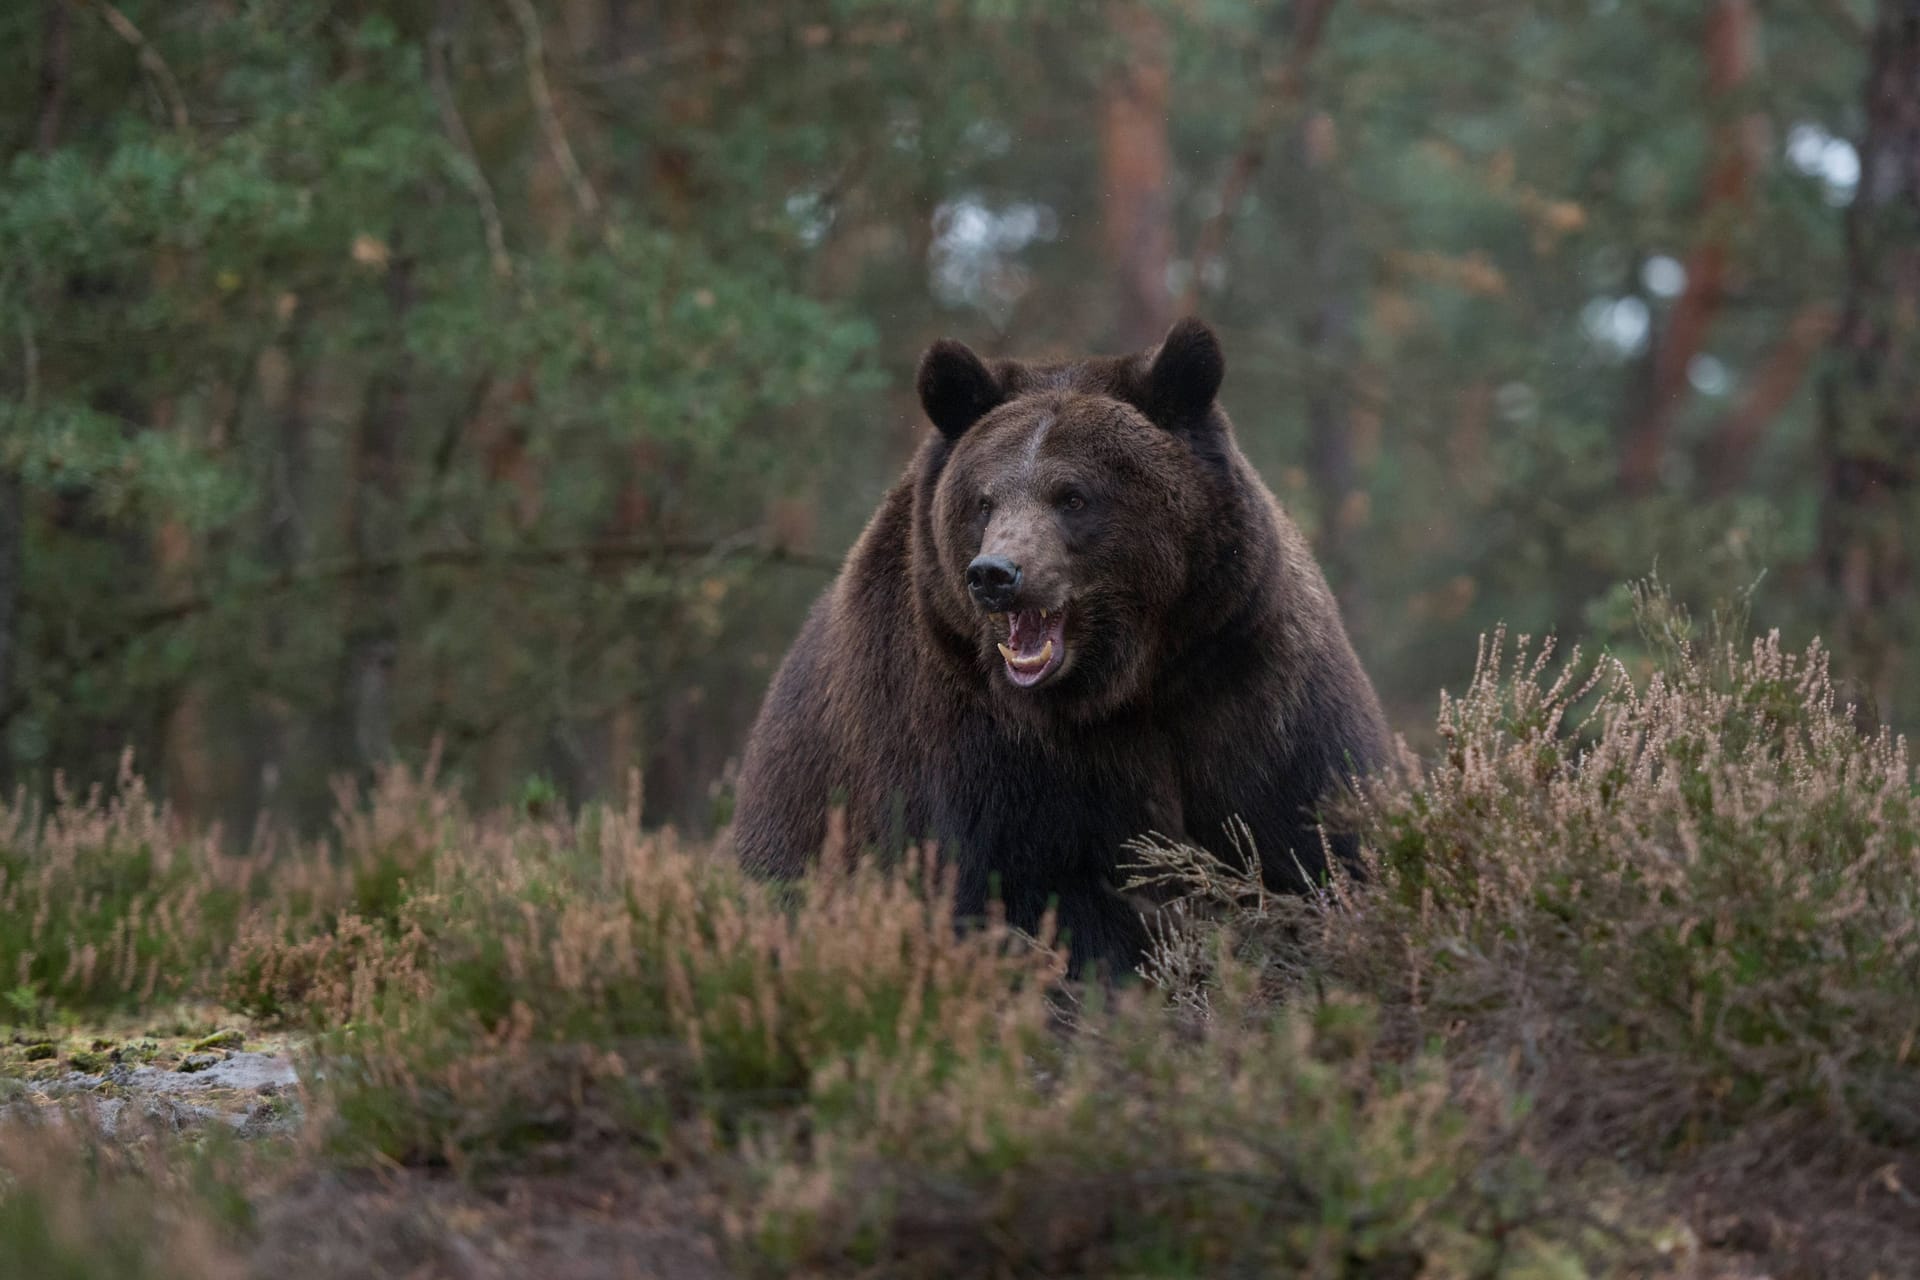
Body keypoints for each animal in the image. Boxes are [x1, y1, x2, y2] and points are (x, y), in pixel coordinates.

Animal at [729, 318, 1382, 971]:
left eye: (1073, 495)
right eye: (984, 500)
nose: (995, 573)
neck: (1124, 685)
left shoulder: (1248, 687)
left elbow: (1313, 837)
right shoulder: (972, 743)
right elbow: (1027, 896)